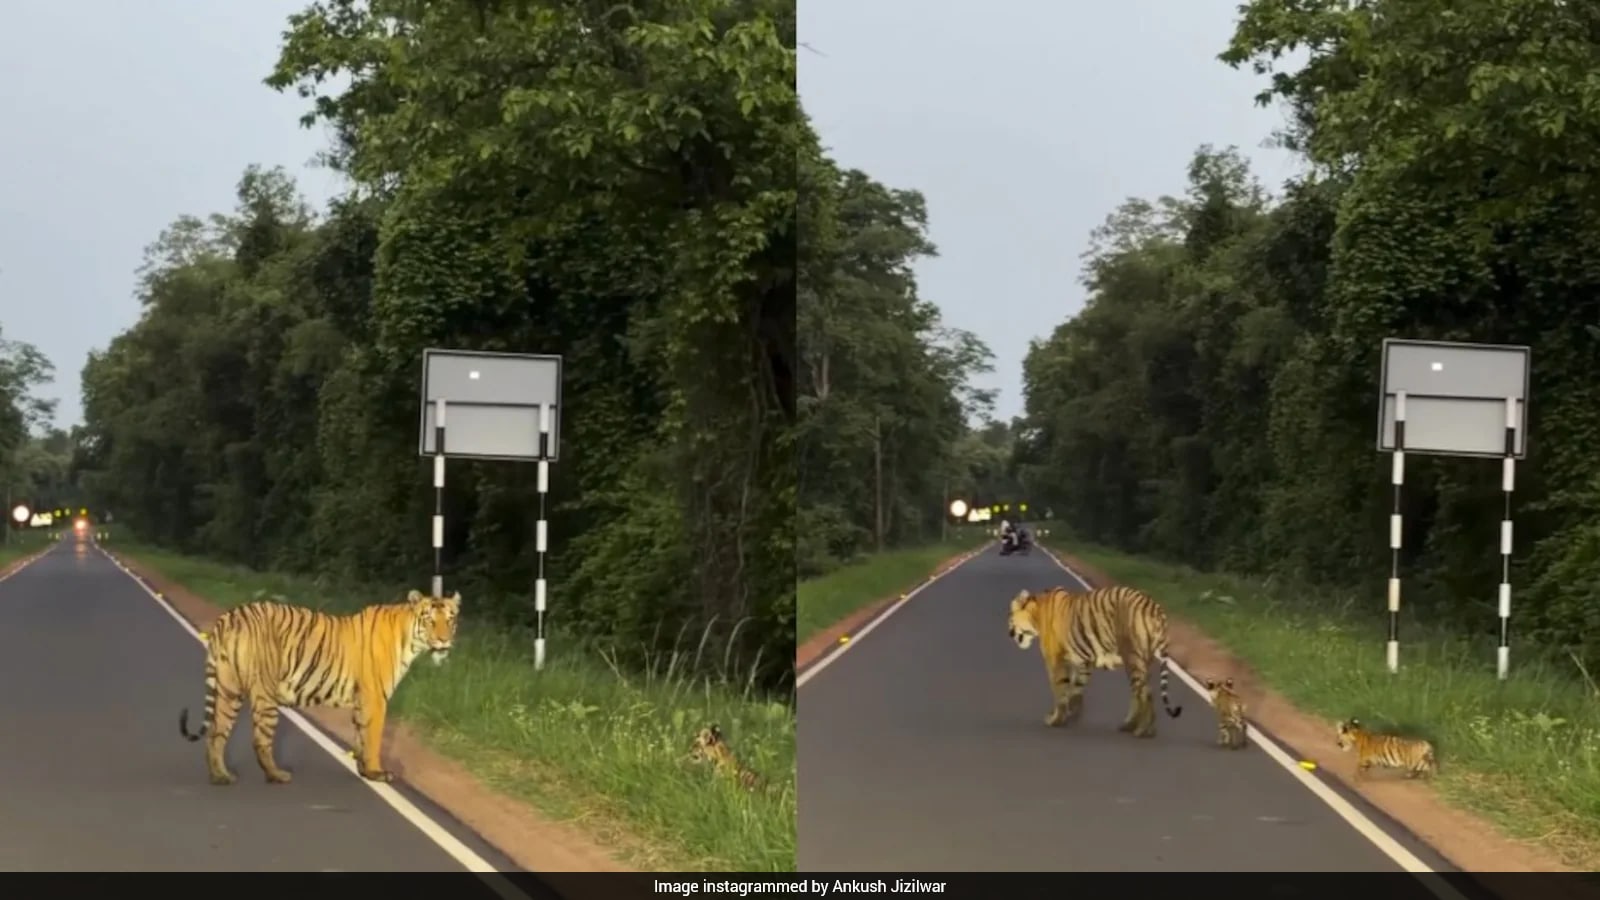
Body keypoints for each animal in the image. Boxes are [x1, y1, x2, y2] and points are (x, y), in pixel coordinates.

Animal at [178, 588, 460, 786]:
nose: (444, 640)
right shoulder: (376, 699)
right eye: (430, 620)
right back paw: (277, 775)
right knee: (260, 740)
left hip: (229, 689)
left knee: (216, 733)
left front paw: (364, 771)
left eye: (450, 619)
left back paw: (220, 776)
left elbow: (361, 736)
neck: (410, 638)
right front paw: (377, 772)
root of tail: (230, 616)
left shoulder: (362, 702)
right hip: (265, 694)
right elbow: (373, 738)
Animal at [1006, 585, 1183, 737]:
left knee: (1145, 692)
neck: (1036, 613)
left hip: (1133, 657)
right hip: (1143, 660)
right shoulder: (1083, 663)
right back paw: (1133, 727)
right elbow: (1075, 688)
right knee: (1139, 692)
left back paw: (1142, 730)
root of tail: (1153, 606)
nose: (1009, 633)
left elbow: (1060, 690)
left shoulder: (1056, 661)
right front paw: (1072, 714)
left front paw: (1056, 719)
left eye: (1010, 620)